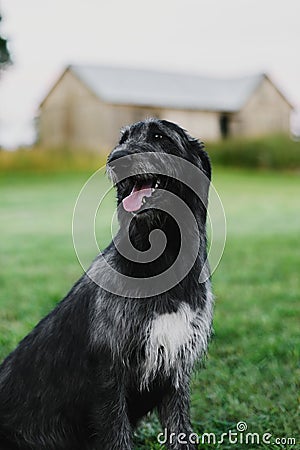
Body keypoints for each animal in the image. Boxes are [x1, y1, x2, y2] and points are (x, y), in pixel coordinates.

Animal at [0, 118, 213, 448]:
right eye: (122, 139)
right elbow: (116, 434)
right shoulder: (109, 375)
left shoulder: (175, 371)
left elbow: (180, 430)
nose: (115, 159)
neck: (161, 261)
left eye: (159, 136)